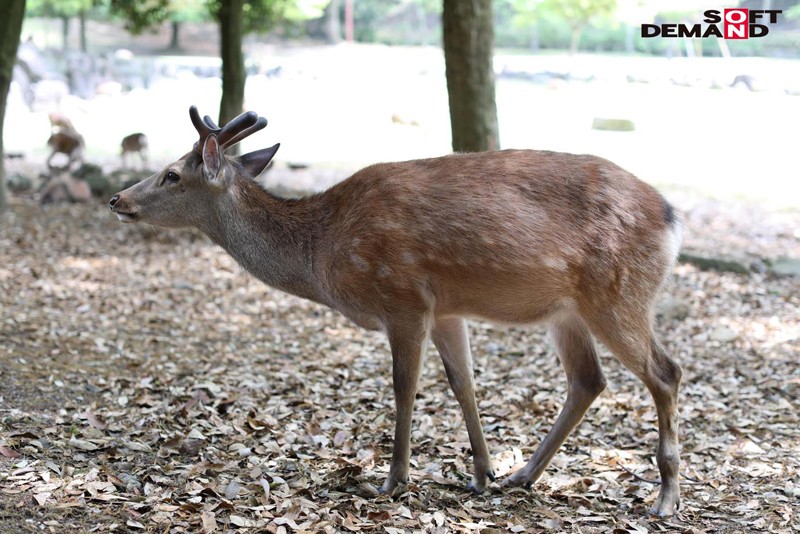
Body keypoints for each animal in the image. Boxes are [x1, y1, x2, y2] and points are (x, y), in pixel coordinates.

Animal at [109, 105, 684, 520]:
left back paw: (665, 498)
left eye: (170, 175)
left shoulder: (402, 296)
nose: (117, 199)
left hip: (618, 292)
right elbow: (464, 383)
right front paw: (482, 473)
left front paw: (392, 480)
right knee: (588, 379)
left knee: (666, 372)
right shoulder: (446, 308)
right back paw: (524, 476)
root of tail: (671, 218)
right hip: (567, 311)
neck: (323, 251)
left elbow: (404, 387)